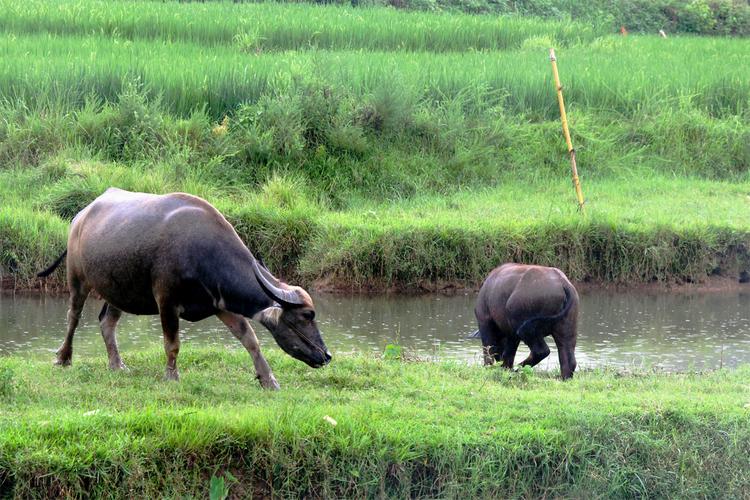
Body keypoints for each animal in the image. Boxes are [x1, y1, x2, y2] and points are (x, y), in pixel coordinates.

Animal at [37, 188, 332, 386]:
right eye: (306, 316)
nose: (326, 355)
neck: (203, 252)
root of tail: (80, 217)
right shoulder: (166, 301)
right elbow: (173, 344)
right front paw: (171, 376)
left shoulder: (220, 303)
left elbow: (250, 339)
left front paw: (268, 379)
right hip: (77, 280)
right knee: (73, 318)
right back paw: (63, 358)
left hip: (118, 290)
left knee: (106, 322)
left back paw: (117, 364)